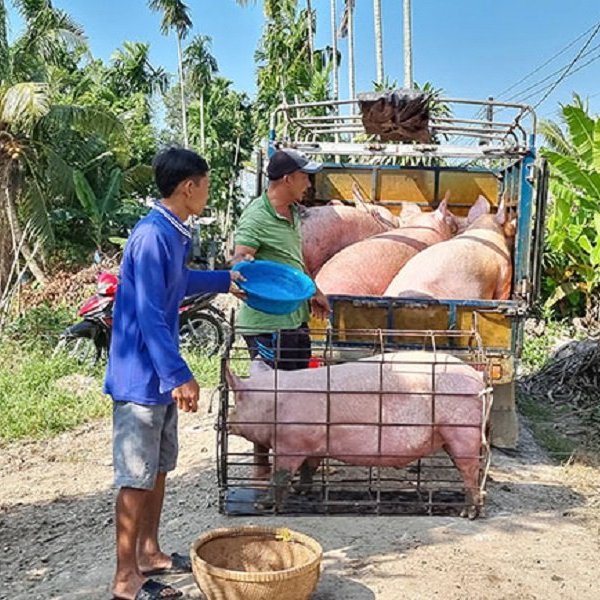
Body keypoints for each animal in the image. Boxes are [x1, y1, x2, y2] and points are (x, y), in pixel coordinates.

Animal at [218, 326, 494, 516]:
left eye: (238, 399)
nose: (225, 422)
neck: (273, 403)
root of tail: (479, 378)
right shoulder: (313, 443)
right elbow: (310, 466)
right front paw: (302, 490)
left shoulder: (290, 442)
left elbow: (281, 475)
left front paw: (262, 505)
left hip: (461, 430)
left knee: (470, 470)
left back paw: (468, 513)